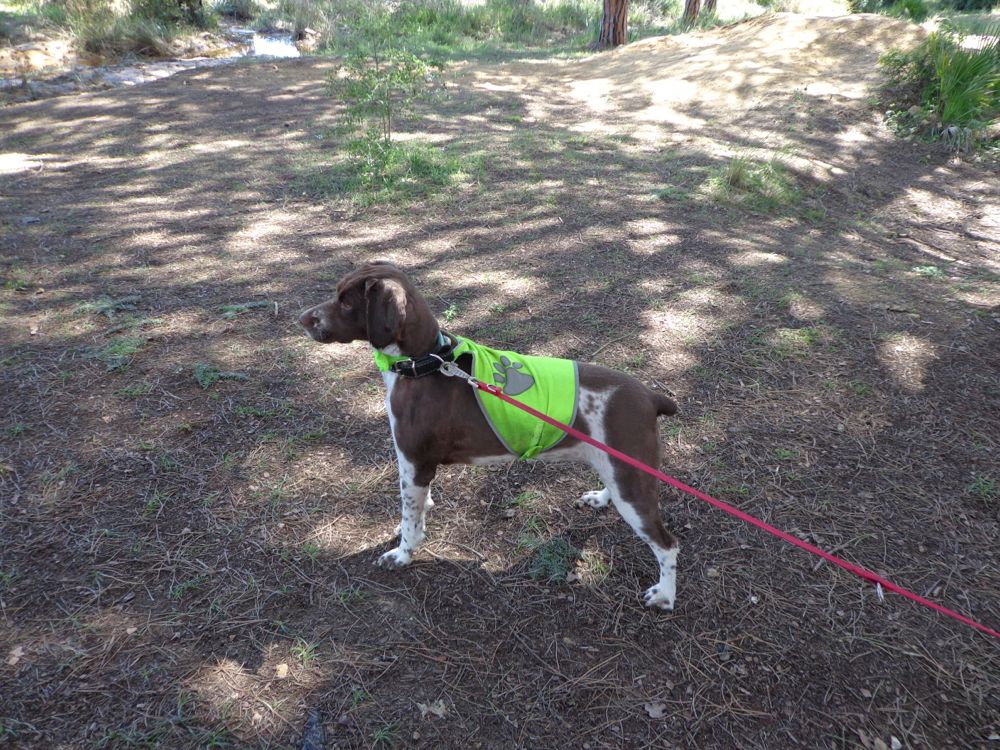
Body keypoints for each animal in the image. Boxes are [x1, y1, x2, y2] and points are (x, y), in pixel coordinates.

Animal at [299, 262, 681, 610]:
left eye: (347, 302)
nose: (303, 319)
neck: (423, 364)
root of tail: (651, 397)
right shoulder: (417, 467)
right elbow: (417, 508)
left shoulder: (413, 460)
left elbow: (410, 518)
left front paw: (403, 554)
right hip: (619, 468)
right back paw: (600, 498)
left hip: (633, 483)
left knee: (667, 544)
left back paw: (664, 595)